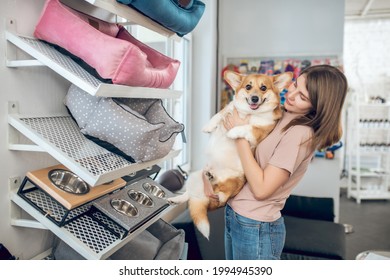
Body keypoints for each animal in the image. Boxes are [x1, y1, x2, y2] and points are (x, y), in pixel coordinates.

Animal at [168, 70, 292, 238]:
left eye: (263, 88)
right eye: (248, 86)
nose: (254, 98)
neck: (248, 113)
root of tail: (206, 196)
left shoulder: (258, 131)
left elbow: (246, 127)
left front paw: (232, 132)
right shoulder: (227, 110)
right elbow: (220, 113)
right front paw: (208, 127)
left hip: (233, 182)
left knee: (223, 196)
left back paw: (215, 184)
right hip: (194, 177)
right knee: (189, 195)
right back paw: (177, 198)